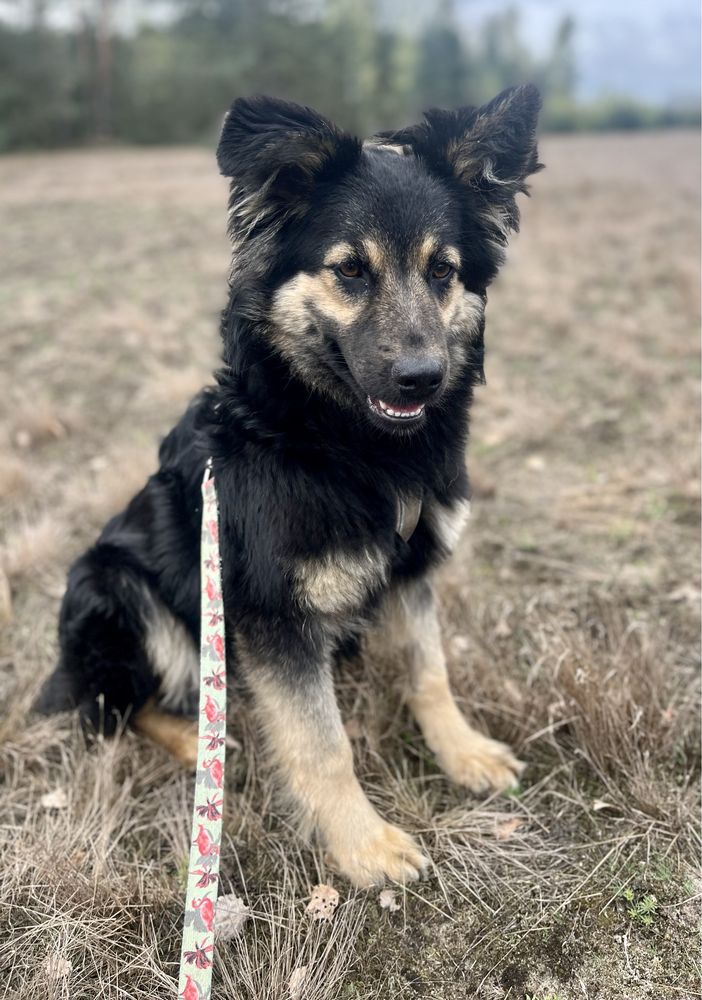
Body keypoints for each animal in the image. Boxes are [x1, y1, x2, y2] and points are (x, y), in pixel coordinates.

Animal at [37, 84, 544, 884]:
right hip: (114, 584)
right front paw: (365, 846)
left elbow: (429, 671)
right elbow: (322, 742)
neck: (341, 443)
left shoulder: (411, 570)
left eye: (442, 270)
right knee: (119, 706)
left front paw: (462, 752)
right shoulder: (271, 615)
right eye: (351, 270)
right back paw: (201, 743)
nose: (423, 378)